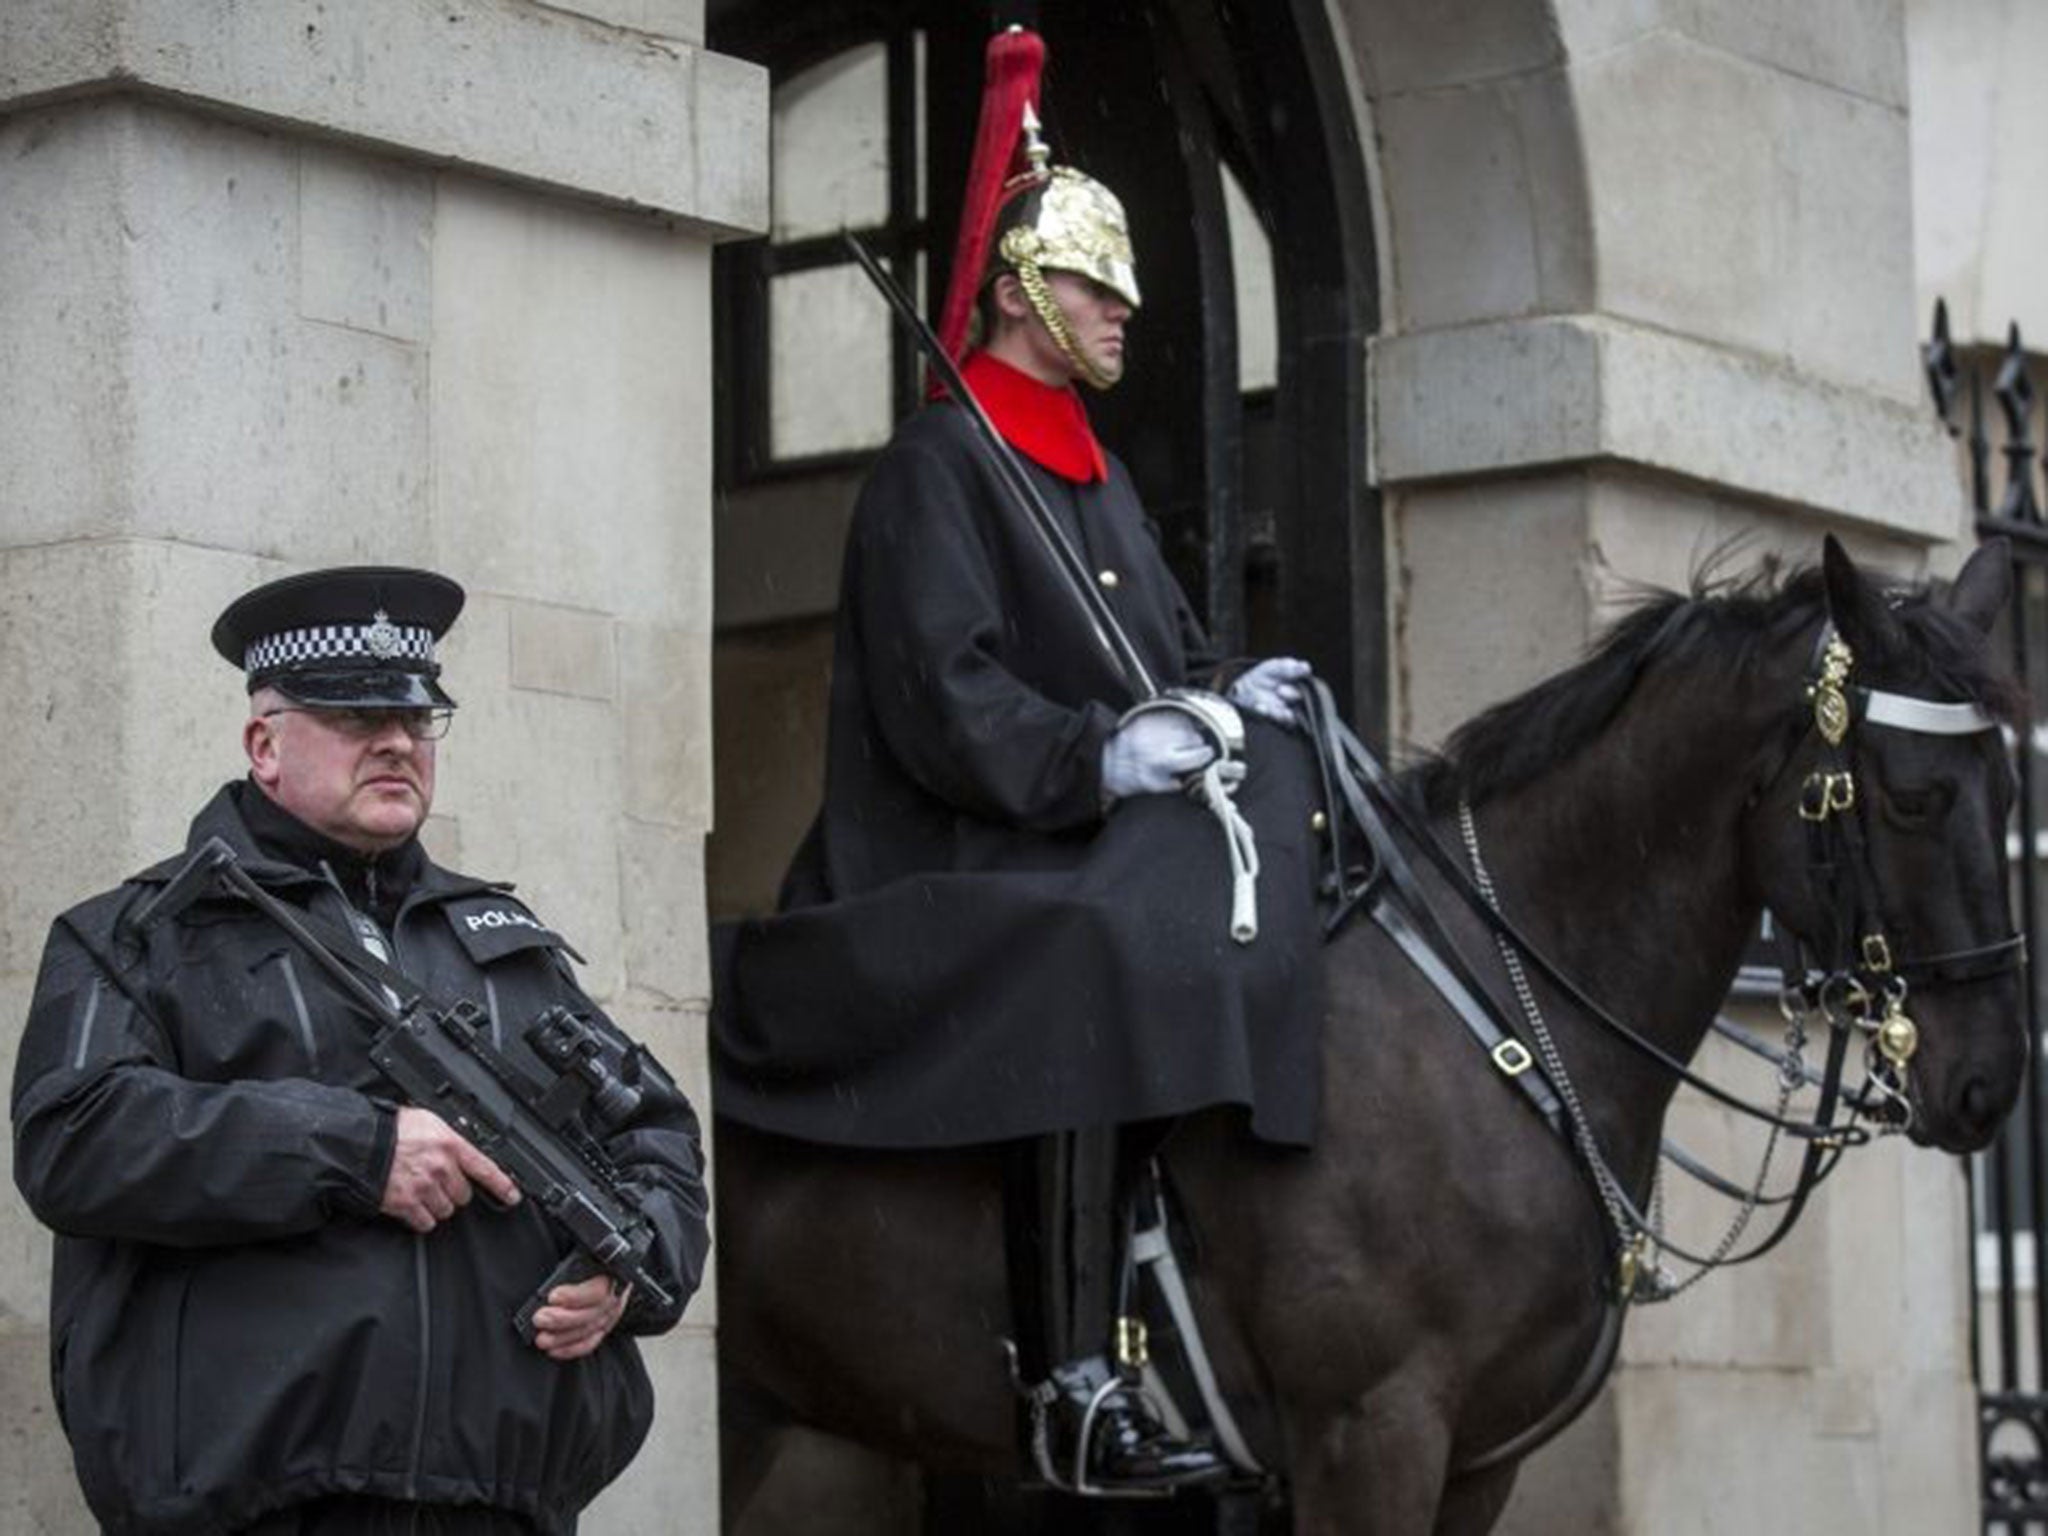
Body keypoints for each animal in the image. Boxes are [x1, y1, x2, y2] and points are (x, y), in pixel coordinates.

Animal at [712, 536, 2023, 1531]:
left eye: (2009, 789)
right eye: (1910, 795)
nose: (1987, 1086)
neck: (1503, 1012)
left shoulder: (1477, 1461)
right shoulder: (1369, 1429)